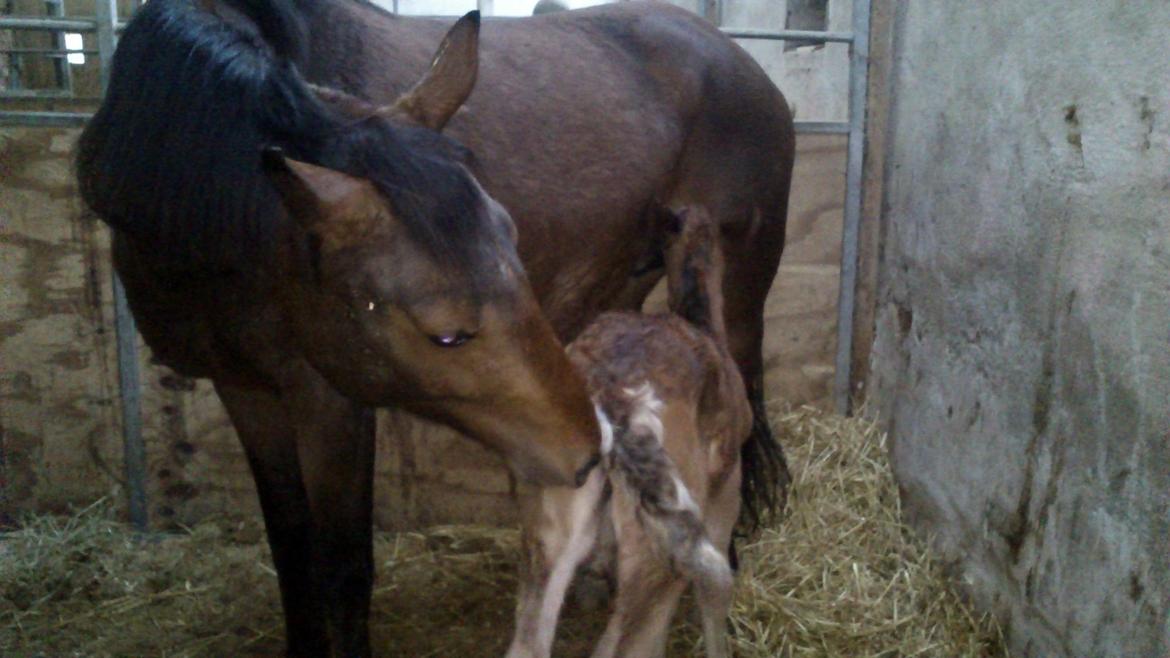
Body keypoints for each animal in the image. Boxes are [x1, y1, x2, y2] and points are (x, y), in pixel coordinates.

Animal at [510, 206, 748, 655]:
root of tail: (611, 396)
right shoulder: (726, 491)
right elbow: (717, 590)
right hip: (657, 552)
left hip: (549, 525)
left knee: (529, 642)